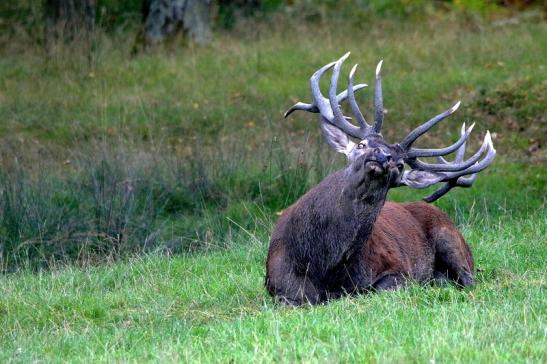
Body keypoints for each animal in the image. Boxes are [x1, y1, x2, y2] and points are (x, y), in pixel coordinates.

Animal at [266, 52, 496, 306]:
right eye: (362, 144)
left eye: (400, 164)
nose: (383, 156)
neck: (322, 265)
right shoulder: (278, 286)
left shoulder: (396, 269)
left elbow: (378, 289)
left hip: (450, 238)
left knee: (468, 279)